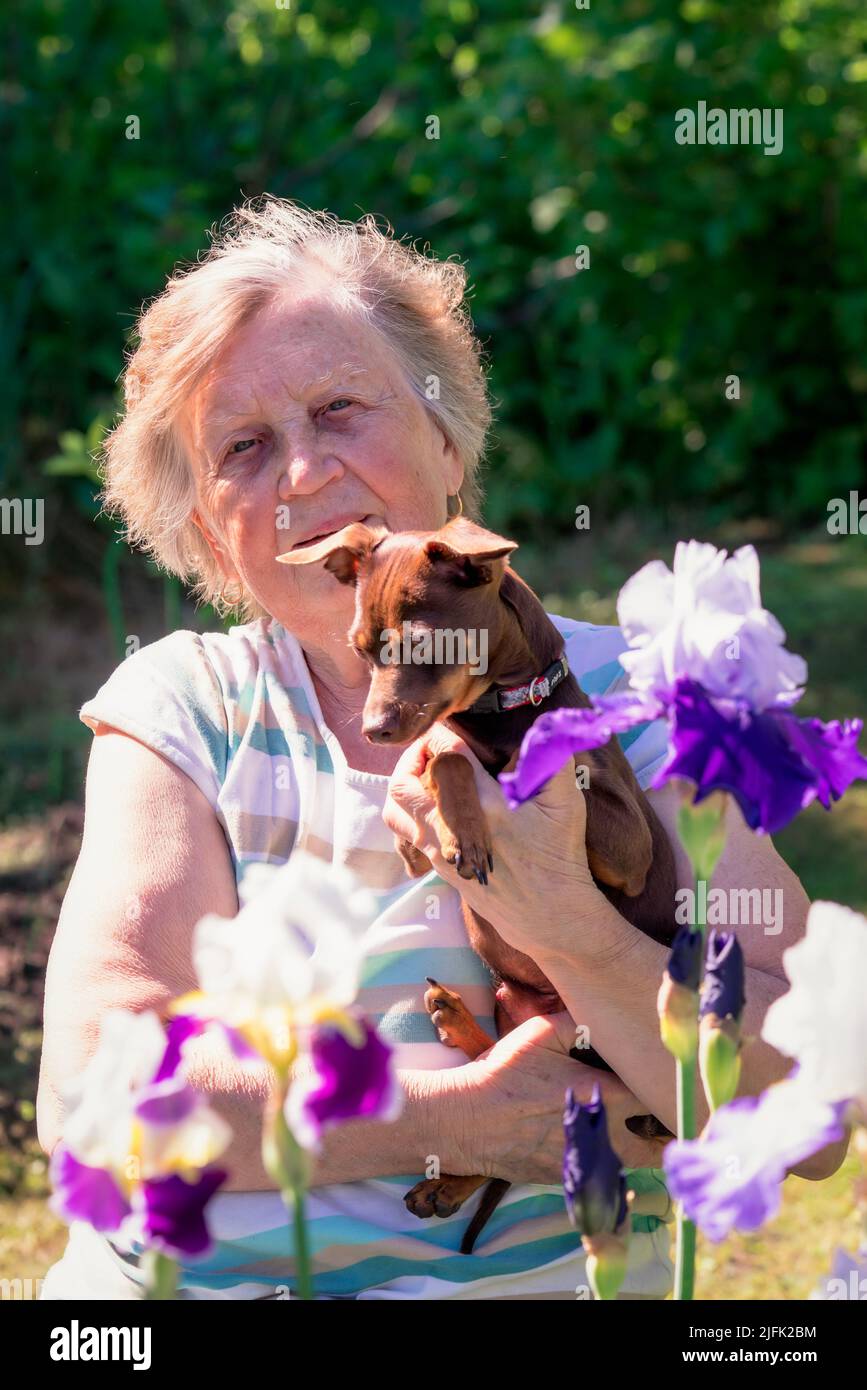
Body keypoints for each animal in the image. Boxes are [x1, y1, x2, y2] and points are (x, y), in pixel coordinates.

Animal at [277, 517, 678, 1256]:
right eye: (359, 652)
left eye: (418, 646)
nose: (372, 728)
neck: (501, 714)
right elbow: (446, 757)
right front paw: (452, 825)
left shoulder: (627, 841)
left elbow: (479, 762)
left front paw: (470, 822)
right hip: (508, 997)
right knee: (491, 1068)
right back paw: (451, 1033)